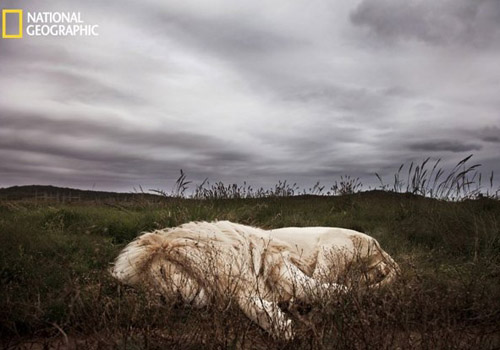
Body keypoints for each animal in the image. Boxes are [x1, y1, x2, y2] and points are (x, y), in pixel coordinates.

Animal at [109, 221, 398, 340]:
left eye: (160, 273)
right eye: (152, 292)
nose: (176, 303)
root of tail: (382, 249)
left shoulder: (276, 260)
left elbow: (314, 289)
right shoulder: (245, 284)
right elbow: (255, 307)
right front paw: (283, 327)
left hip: (331, 249)